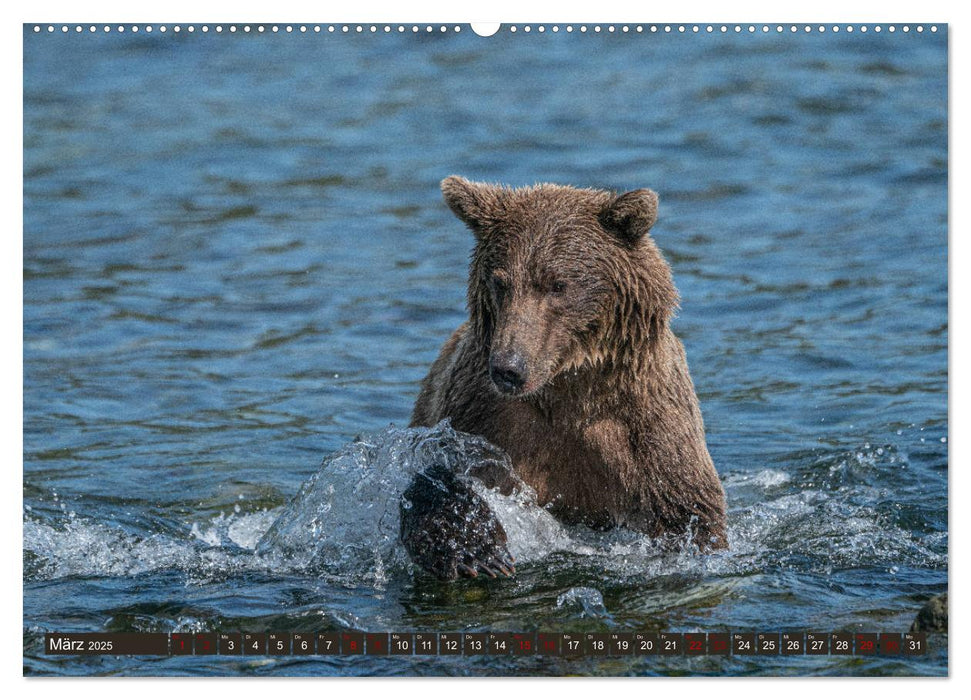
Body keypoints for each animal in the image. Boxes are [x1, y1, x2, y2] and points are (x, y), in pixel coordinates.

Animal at [402, 178, 728, 584]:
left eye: (558, 285)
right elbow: (437, 475)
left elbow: (688, 509)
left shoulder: (649, 425)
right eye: (500, 282)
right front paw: (475, 550)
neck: (568, 391)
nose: (508, 368)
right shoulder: (479, 413)